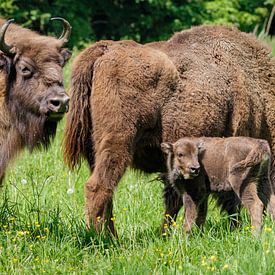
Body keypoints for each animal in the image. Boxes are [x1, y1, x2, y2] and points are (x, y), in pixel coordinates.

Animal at [63, 26, 275, 237]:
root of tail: (105, 50)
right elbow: (228, 200)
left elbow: (174, 202)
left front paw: (165, 233)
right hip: (118, 143)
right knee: (98, 187)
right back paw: (98, 237)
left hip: (94, 150)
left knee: (107, 195)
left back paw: (112, 236)